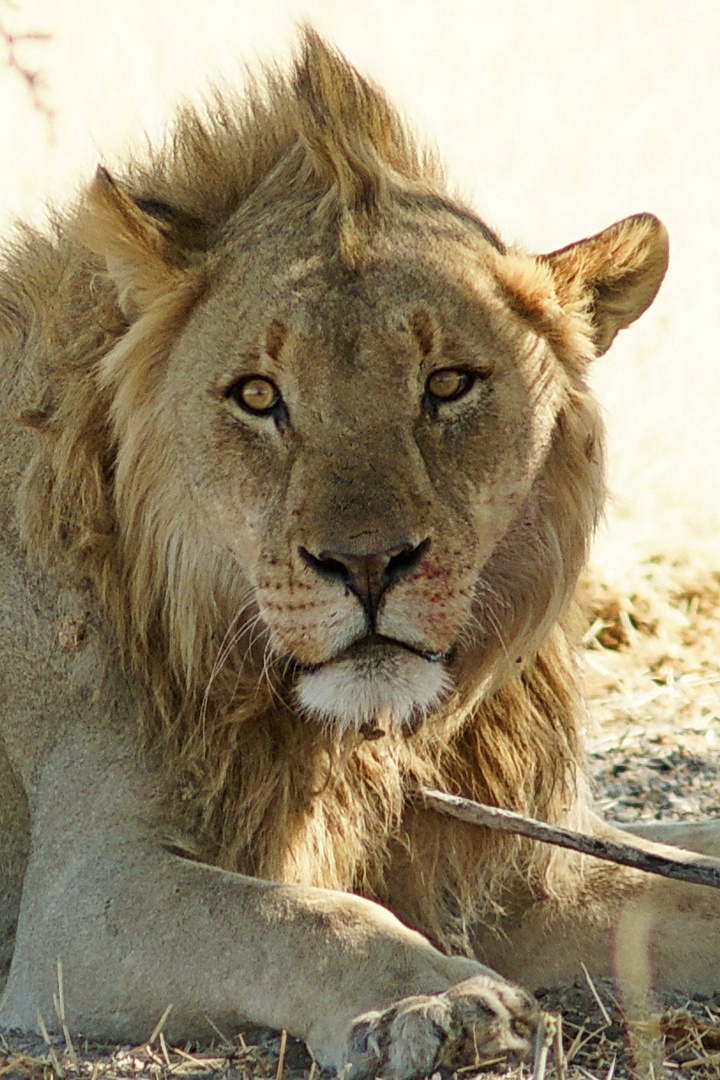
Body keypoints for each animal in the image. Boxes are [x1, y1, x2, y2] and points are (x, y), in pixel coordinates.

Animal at [1, 29, 720, 1080]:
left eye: (448, 384)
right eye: (259, 396)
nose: (369, 565)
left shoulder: (516, 867)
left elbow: (684, 884)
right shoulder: (81, 900)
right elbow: (299, 916)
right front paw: (440, 999)